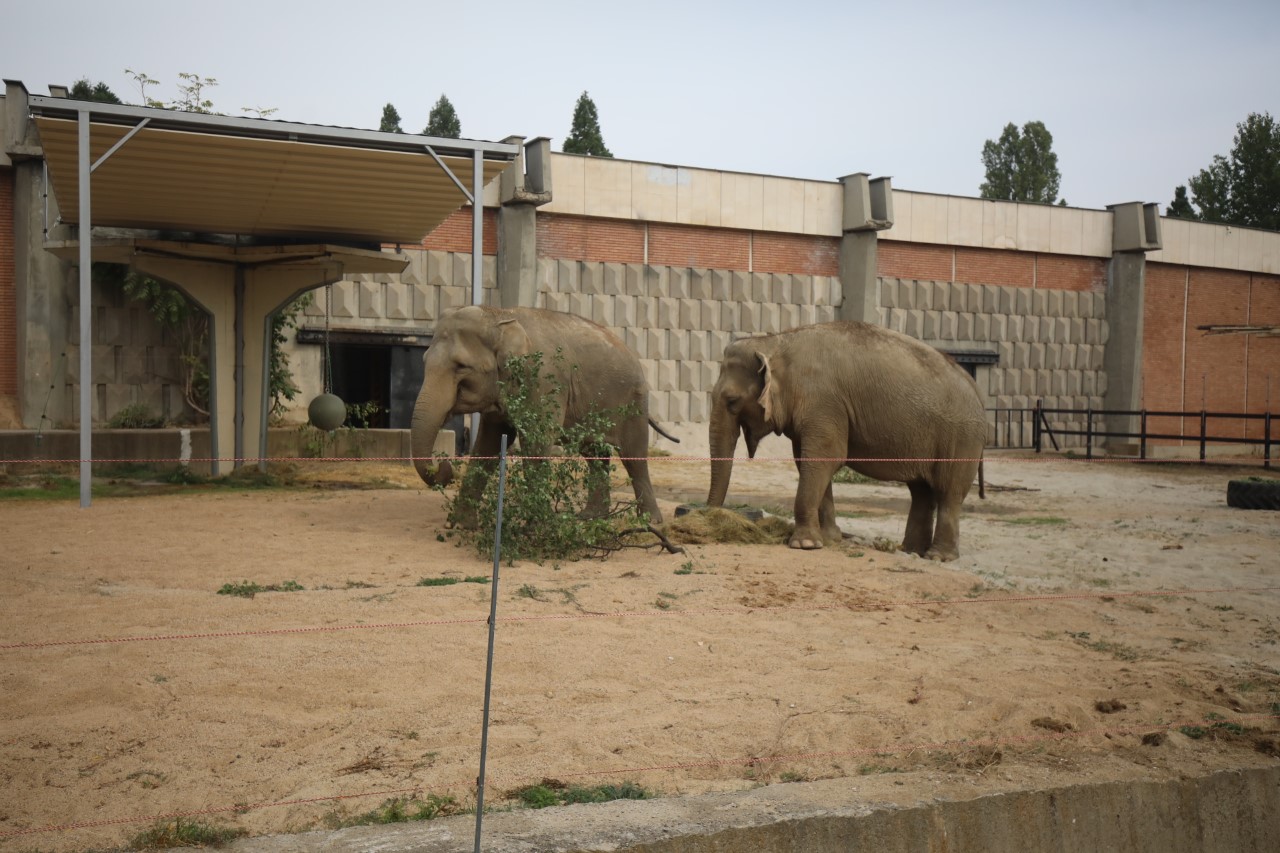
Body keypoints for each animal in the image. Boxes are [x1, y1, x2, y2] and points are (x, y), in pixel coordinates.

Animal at [412, 302, 675, 522]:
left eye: (461, 367)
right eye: (423, 360)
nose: (444, 464)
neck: (500, 315)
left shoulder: (544, 381)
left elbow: (536, 445)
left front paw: (538, 526)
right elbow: (488, 444)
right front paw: (460, 525)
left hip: (633, 402)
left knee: (633, 456)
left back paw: (650, 522)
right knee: (594, 453)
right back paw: (590, 517)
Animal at [706, 318, 983, 558]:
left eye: (732, 401)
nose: (710, 514)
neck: (775, 341)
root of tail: (976, 390)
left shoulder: (823, 402)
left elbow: (823, 458)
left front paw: (804, 545)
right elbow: (809, 463)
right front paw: (830, 539)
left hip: (962, 440)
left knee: (948, 492)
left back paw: (938, 557)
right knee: (921, 492)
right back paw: (912, 551)